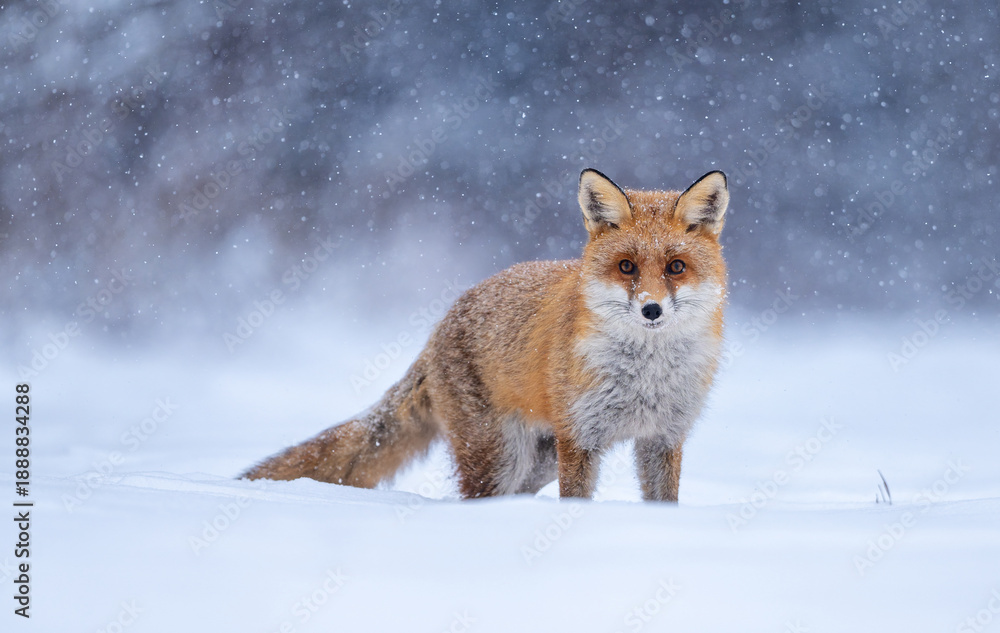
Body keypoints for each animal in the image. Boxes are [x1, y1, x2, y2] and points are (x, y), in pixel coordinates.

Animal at [242, 168, 730, 501]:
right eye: (626, 266)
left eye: (676, 267)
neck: (646, 378)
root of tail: (443, 322)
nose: (651, 309)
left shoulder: (663, 439)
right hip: (501, 459)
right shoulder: (581, 439)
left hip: (536, 463)